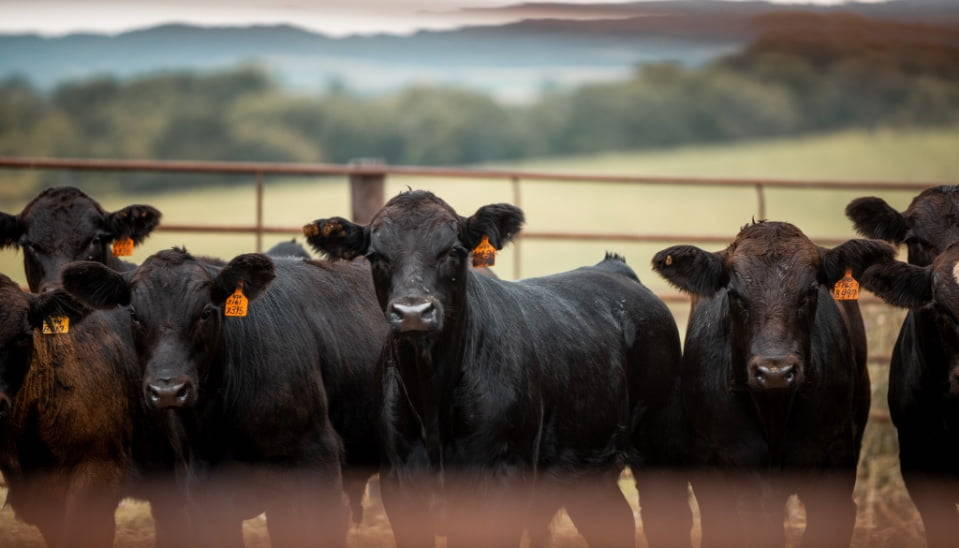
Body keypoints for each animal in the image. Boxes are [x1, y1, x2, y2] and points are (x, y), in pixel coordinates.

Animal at [303, 190, 691, 548]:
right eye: (375, 256)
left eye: (454, 251)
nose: (413, 312)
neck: (433, 401)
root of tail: (613, 270)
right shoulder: (401, 486)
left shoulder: (502, 481)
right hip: (587, 469)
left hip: (658, 446)